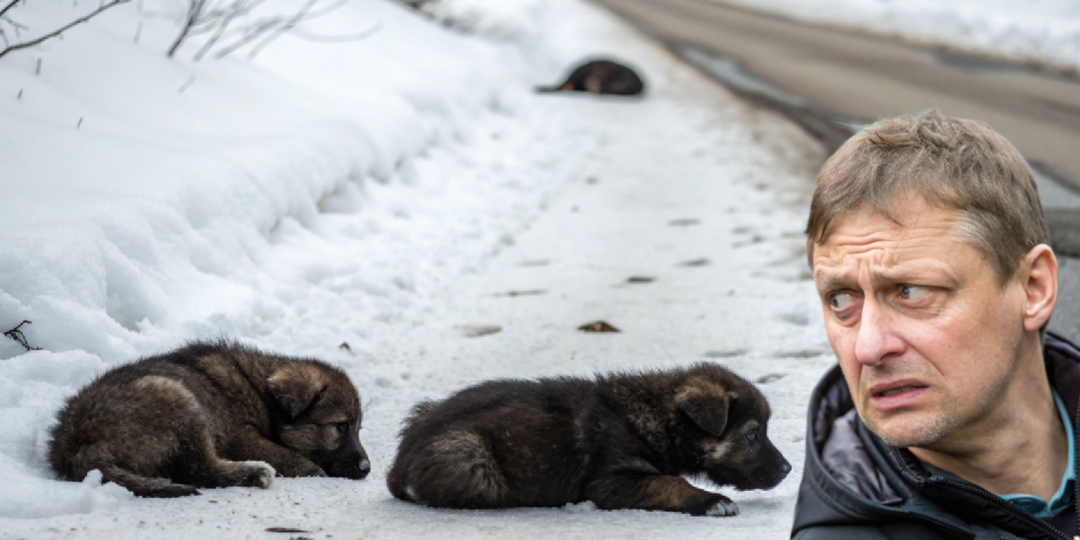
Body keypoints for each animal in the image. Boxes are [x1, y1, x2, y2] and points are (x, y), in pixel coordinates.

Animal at [49, 341, 371, 496]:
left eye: (359, 428)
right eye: (341, 426)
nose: (367, 469)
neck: (259, 390)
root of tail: (76, 449)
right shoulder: (241, 436)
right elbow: (286, 454)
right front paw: (311, 470)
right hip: (177, 398)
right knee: (200, 470)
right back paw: (254, 473)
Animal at [384, 362, 790, 514]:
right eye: (753, 434)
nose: (788, 469)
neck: (654, 414)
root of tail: (397, 467)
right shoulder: (610, 480)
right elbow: (668, 482)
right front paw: (712, 501)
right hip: (471, 460)